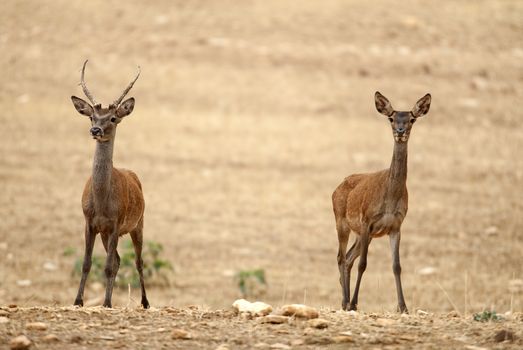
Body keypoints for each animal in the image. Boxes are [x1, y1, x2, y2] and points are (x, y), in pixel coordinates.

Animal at [70, 60, 150, 308]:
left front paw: (105, 303)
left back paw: (145, 302)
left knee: (137, 261)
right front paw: (78, 301)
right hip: (107, 233)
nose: (95, 130)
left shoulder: (116, 222)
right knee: (118, 259)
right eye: (91, 117)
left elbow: (106, 266)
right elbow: (87, 263)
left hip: (138, 223)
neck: (102, 203)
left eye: (113, 118)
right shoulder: (89, 222)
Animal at [334, 91, 432, 314]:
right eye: (391, 118)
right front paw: (355, 302)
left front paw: (403, 307)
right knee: (341, 257)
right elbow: (363, 264)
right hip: (342, 222)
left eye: (412, 119)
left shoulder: (395, 225)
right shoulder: (366, 220)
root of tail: (336, 188)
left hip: (363, 235)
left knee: (348, 258)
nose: (400, 131)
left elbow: (396, 266)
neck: (390, 198)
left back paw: (345, 300)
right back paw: (345, 301)